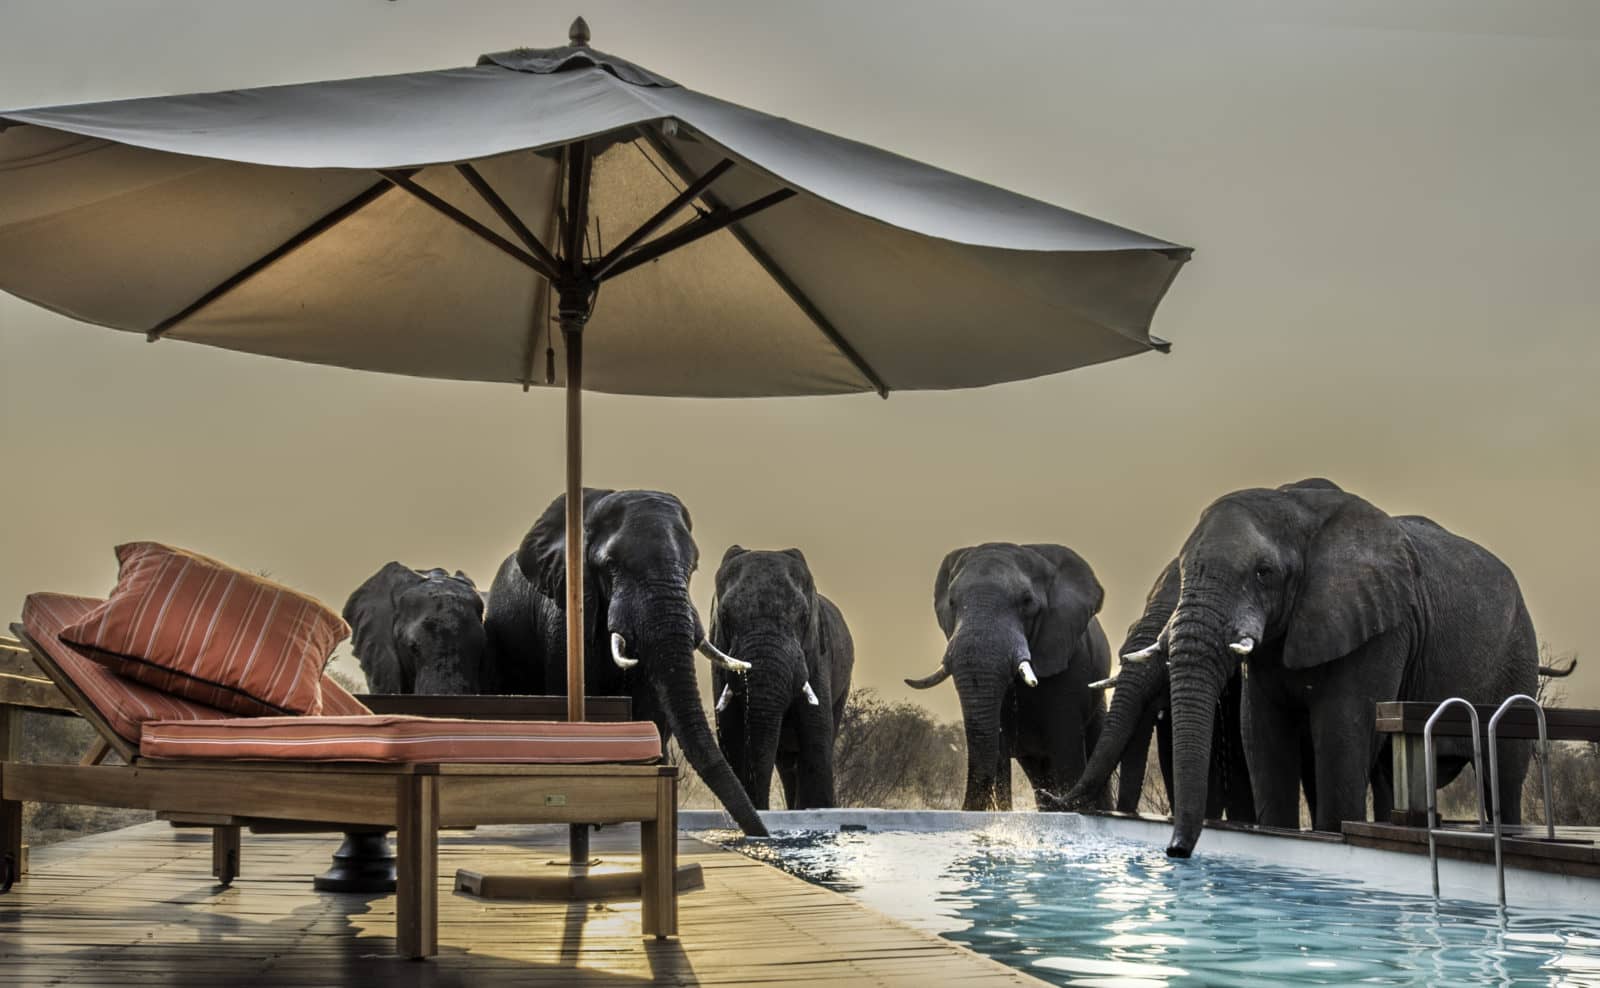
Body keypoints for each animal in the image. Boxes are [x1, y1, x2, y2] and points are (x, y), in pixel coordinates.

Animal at [710, 546, 854, 810]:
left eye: (804, 617)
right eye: (724, 617)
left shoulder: (817, 656)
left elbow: (816, 735)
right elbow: (730, 733)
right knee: (786, 763)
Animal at [905, 542, 1110, 811]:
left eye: (1027, 601)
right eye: (951, 602)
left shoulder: (1072, 660)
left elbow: (1066, 749)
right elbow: (999, 751)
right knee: (1038, 771)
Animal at [1149, 480, 1540, 857]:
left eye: (1264, 573)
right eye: (1182, 571)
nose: (1176, 850)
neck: (1293, 506)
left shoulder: (1381, 629)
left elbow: (1341, 733)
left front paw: (1331, 833)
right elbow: (1262, 734)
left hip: (1517, 656)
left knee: (1504, 772)